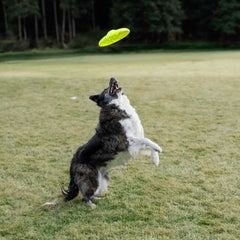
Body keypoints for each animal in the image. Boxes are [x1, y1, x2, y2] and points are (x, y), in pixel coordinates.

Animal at [42, 78, 163, 208]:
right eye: (106, 89)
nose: (112, 78)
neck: (117, 106)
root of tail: (72, 163)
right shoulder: (123, 143)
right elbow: (145, 140)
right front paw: (158, 148)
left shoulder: (135, 142)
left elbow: (148, 143)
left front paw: (156, 159)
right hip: (92, 179)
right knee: (84, 197)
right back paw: (92, 206)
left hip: (103, 180)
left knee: (92, 194)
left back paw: (98, 199)